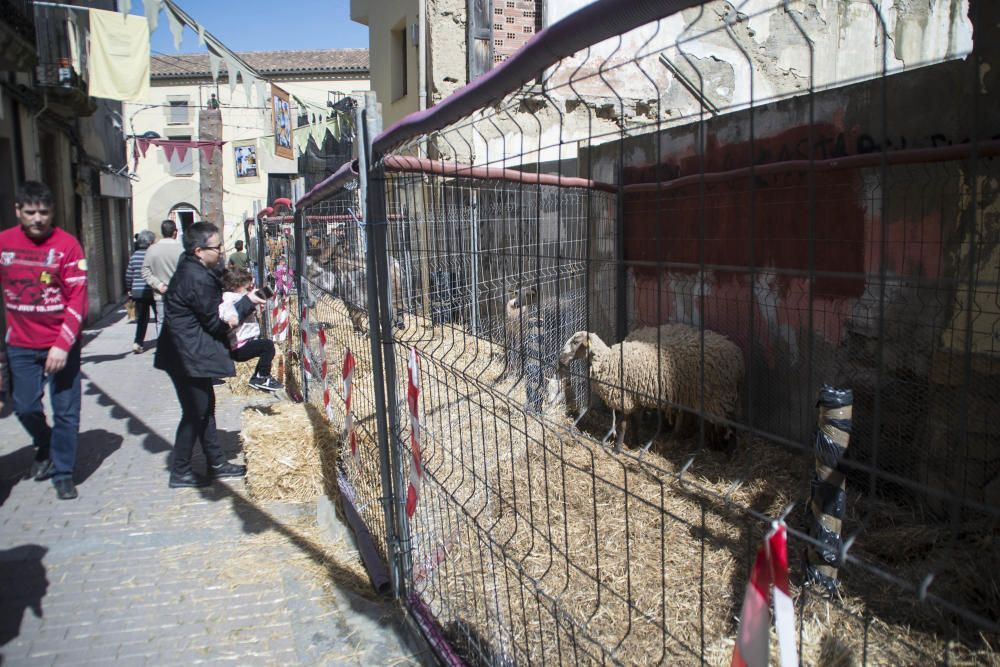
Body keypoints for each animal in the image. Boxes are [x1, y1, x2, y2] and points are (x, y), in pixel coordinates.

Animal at [560, 324, 748, 454]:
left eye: (575, 341)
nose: (560, 360)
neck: (608, 360)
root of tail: (738, 359)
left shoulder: (625, 397)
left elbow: (623, 425)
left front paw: (618, 448)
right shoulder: (634, 397)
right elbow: (635, 423)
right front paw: (635, 442)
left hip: (719, 396)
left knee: (731, 424)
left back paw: (731, 453)